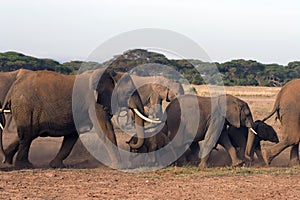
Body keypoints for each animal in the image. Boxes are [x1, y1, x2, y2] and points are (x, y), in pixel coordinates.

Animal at [0, 68, 155, 168]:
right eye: (129, 93)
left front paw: (55, 165)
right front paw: (120, 166)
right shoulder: (94, 102)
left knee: (27, 134)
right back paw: (25, 165)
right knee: (27, 135)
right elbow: (105, 129)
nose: (130, 143)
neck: (112, 74)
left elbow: (72, 135)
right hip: (25, 107)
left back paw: (7, 161)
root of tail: (12, 89)